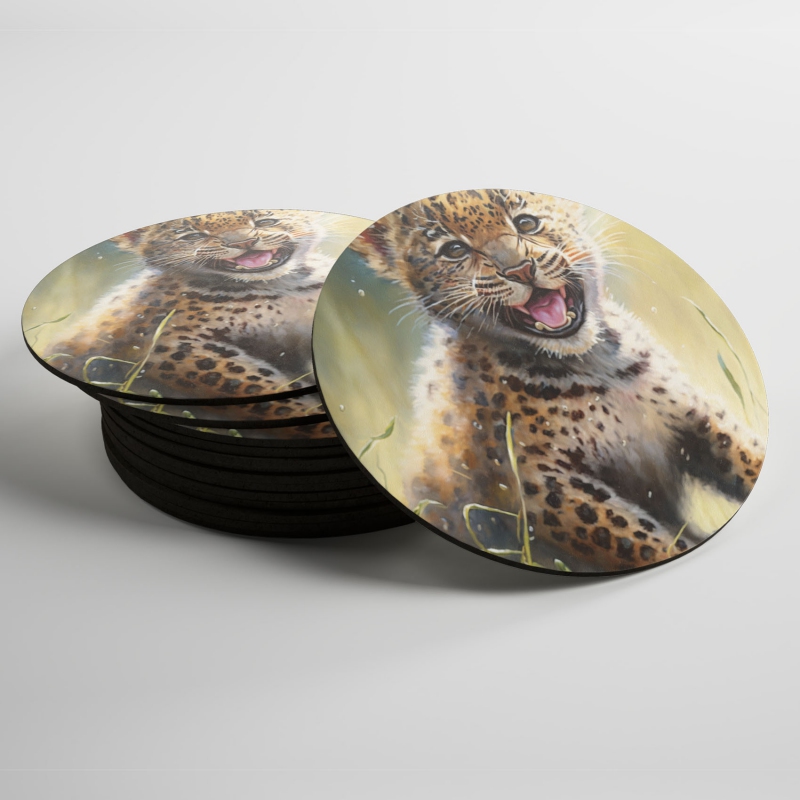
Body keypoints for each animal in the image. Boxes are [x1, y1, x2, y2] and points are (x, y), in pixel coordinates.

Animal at [44, 210, 337, 424]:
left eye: (266, 220)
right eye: (191, 236)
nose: (242, 242)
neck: (282, 285)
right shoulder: (170, 346)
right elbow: (255, 387)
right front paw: (312, 418)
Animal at [351, 189, 766, 573]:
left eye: (526, 223)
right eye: (453, 250)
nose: (519, 270)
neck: (594, 365)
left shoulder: (693, 416)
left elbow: (745, 456)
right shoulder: (541, 485)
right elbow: (639, 541)